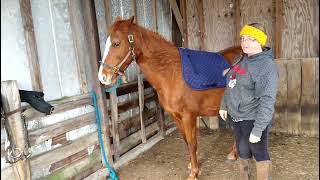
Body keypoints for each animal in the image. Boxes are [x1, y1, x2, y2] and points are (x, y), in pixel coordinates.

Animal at [99, 16, 241, 179]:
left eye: (116, 43)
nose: (103, 77)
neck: (171, 72)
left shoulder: (188, 116)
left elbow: (192, 142)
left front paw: (194, 173)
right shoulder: (176, 117)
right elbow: (187, 141)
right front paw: (192, 165)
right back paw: (233, 153)